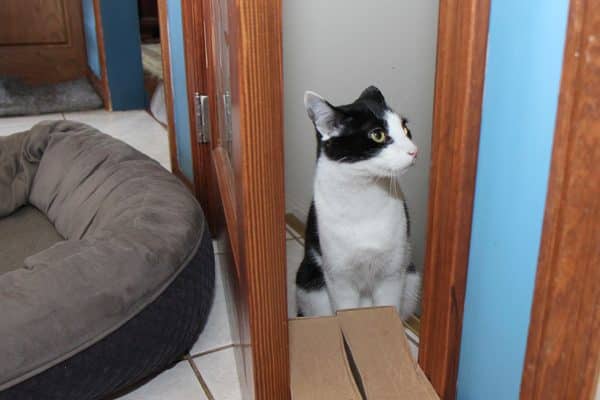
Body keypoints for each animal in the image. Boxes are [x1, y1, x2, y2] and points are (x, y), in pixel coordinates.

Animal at [296, 86, 422, 320]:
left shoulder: (392, 273)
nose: (414, 150)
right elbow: (345, 310)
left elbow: (389, 308)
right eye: (377, 135)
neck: (364, 193)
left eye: (405, 129)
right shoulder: (338, 277)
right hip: (308, 285)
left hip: (411, 277)